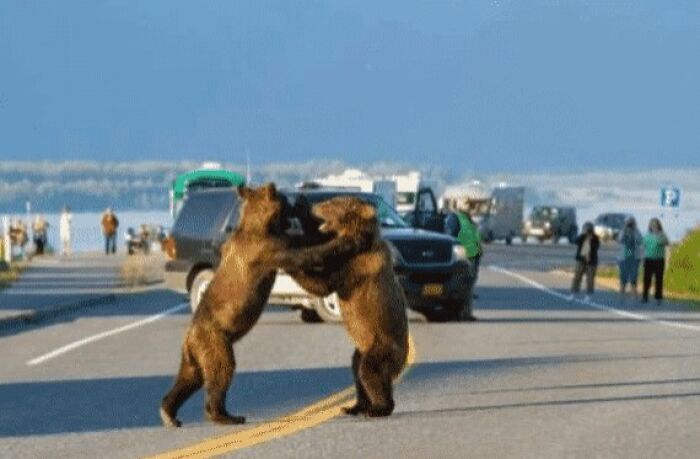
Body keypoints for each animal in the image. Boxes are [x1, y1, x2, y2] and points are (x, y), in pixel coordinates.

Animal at [160, 183, 315, 427]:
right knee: (221, 371)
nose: (296, 203)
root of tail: (189, 337)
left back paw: (169, 413)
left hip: (195, 354)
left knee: (188, 378)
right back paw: (224, 415)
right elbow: (296, 254)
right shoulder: (266, 248)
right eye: (286, 202)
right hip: (215, 342)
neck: (258, 224)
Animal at [284, 196, 409, 417]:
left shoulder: (356, 266)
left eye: (332, 203)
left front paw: (287, 261)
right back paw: (355, 406)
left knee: (369, 371)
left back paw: (379, 407)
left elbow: (323, 283)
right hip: (363, 347)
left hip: (382, 345)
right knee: (356, 368)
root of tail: (402, 362)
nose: (313, 206)